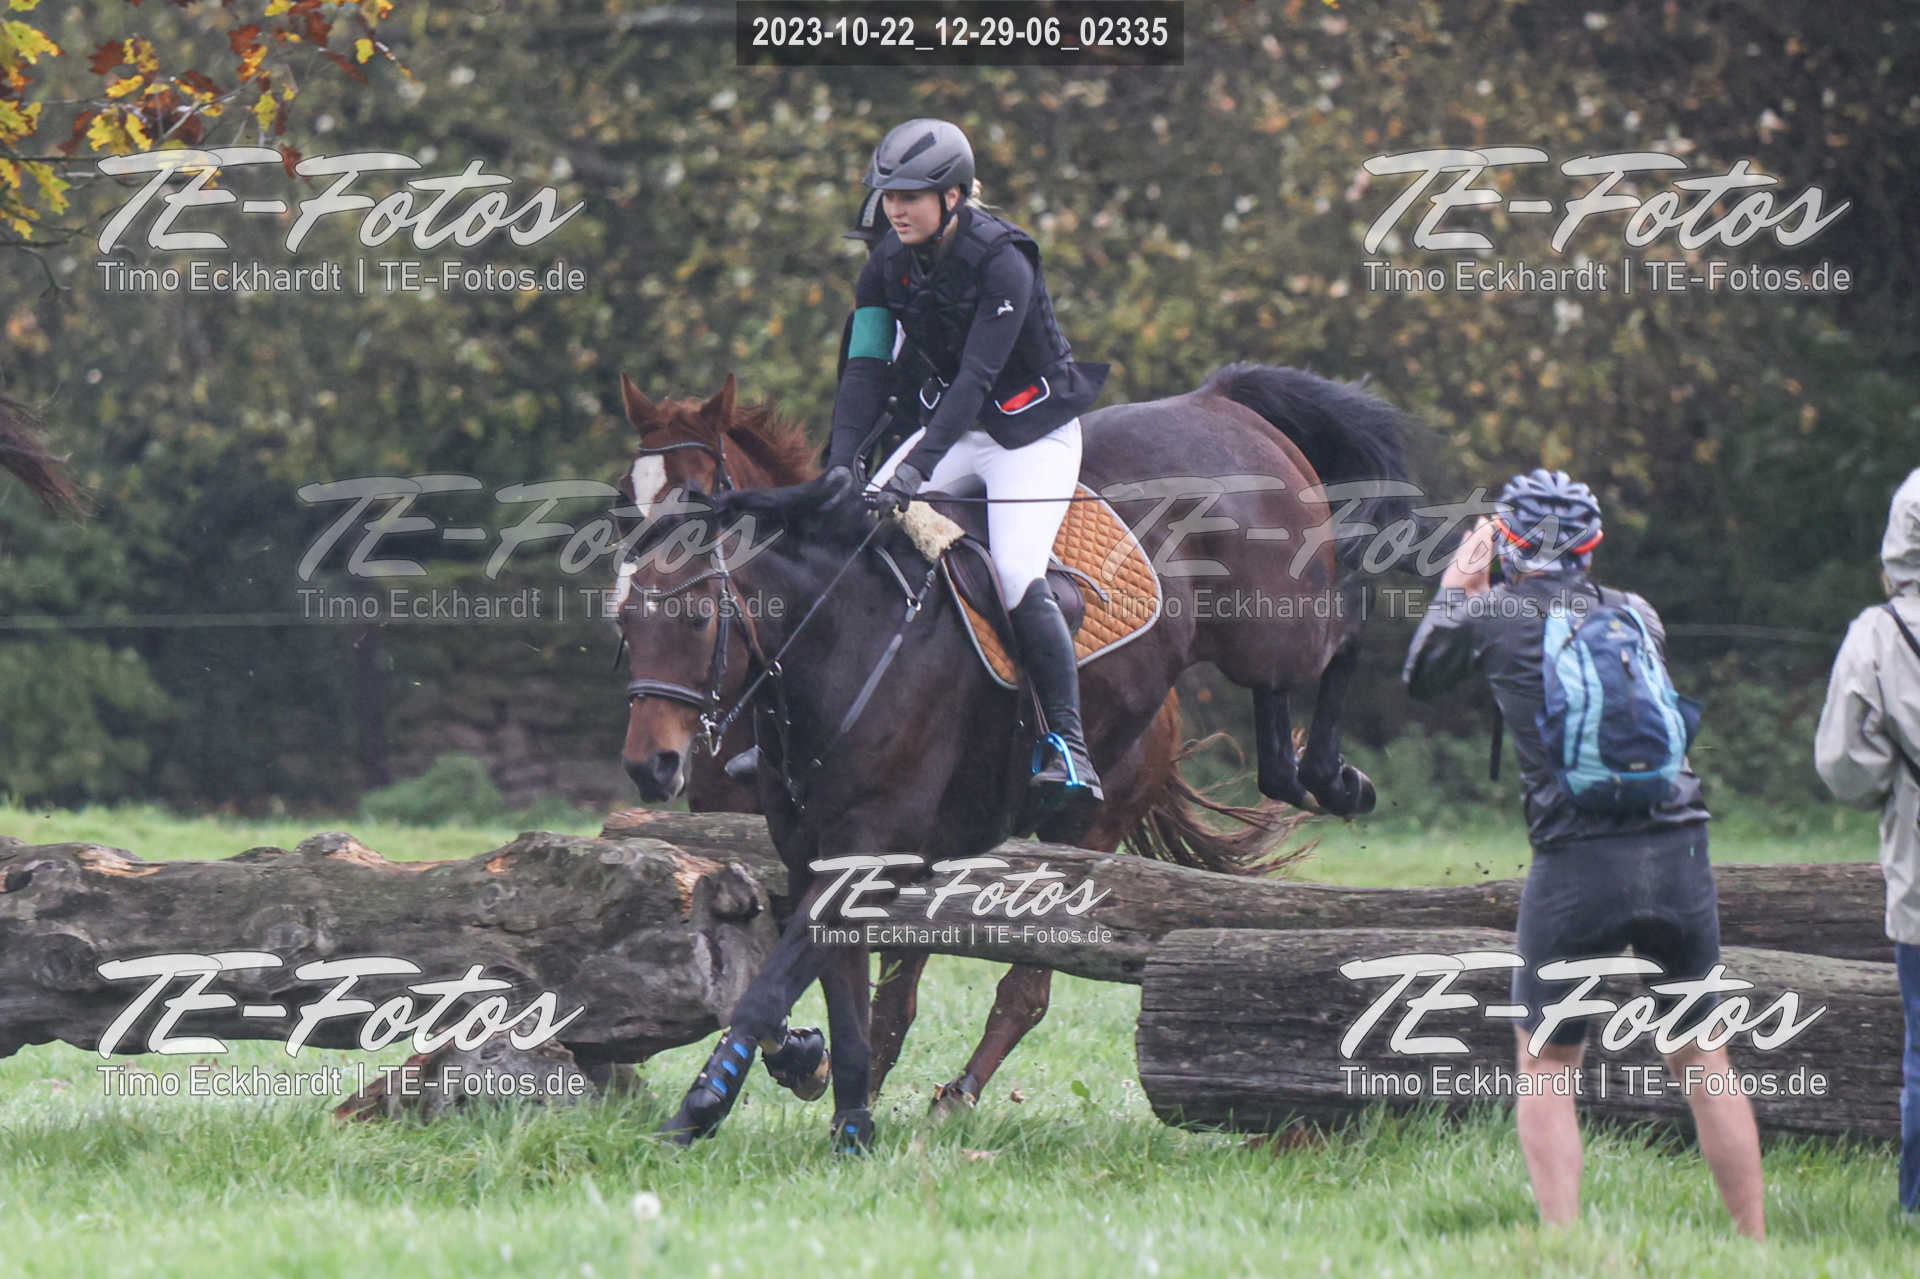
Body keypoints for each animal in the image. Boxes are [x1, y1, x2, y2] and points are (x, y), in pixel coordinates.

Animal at [613, 362, 1420, 1150]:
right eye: (625, 618)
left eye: (696, 618)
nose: (651, 765)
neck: (835, 639)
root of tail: (1219, 402)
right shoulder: (811, 849)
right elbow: (824, 985)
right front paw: (843, 1112)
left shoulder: (872, 849)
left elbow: (772, 986)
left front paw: (701, 1107)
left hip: (1244, 650)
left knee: (1343, 635)